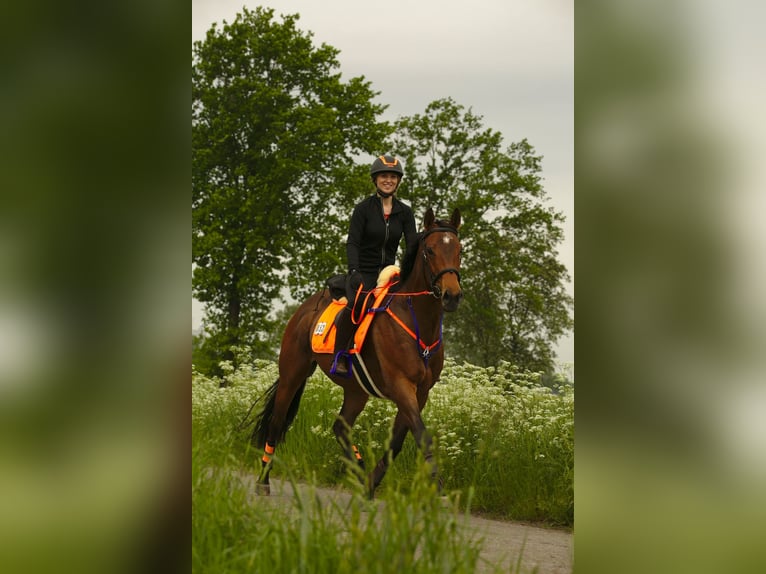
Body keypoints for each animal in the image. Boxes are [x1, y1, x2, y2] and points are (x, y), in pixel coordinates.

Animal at [249, 207, 462, 497]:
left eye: (459, 250)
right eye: (430, 250)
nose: (452, 295)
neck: (417, 321)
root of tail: (303, 310)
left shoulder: (421, 392)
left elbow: (396, 442)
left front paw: (371, 483)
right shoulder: (400, 385)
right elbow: (421, 435)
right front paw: (436, 482)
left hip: (356, 390)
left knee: (340, 427)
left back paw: (359, 473)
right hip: (293, 374)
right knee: (277, 422)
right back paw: (263, 480)